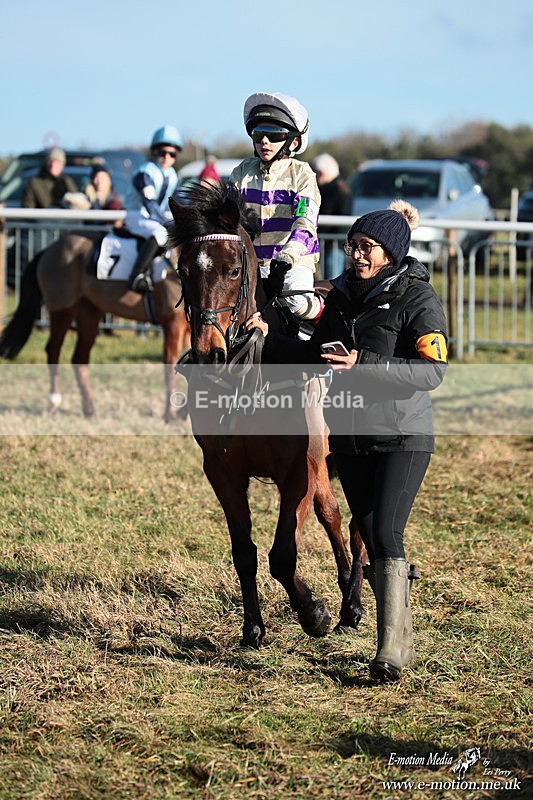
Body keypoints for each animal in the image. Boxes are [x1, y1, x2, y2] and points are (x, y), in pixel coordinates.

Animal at [0, 232, 189, 421]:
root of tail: (49, 249)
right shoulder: (173, 325)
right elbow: (170, 366)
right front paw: (170, 414)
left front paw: (182, 412)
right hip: (63, 310)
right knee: (53, 349)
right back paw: (54, 399)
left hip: (90, 312)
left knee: (79, 359)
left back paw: (89, 408)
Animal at [168, 182, 366, 648]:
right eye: (183, 270)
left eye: (232, 271)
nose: (209, 353)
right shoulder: (222, 470)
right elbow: (245, 552)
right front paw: (253, 627)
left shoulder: (298, 469)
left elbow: (282, 555)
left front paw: (314, 613)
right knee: (332, 513)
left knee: (358, 525)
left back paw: (352, 605)